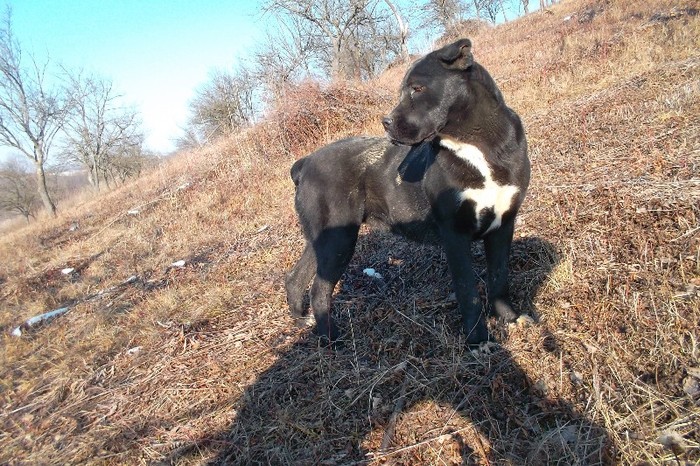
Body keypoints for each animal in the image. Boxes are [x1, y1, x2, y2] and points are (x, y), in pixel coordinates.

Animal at [284, 39, 532, 346]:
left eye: (417, 88)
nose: (386, 122)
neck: (477, 144)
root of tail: (305, 163)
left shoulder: (503, 223)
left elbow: (499, 276)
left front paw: (509, 319)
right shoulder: (455, 234)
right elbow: (468, 290)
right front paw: (479, 341)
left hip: (323, 238)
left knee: (296, 279)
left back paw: (305, 322)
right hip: (339, 238)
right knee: (319, 289)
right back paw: (332, 340)